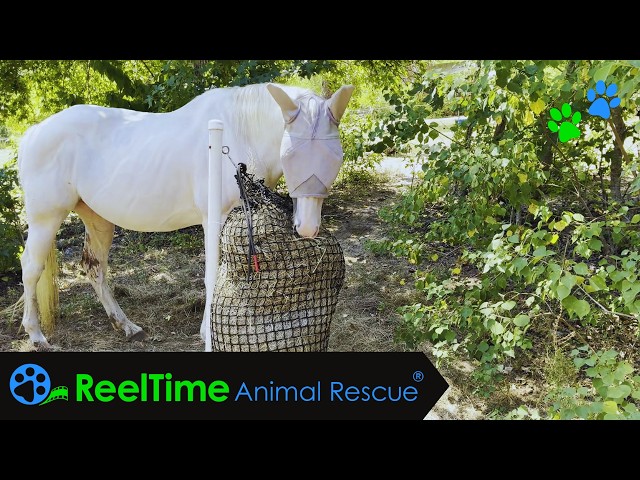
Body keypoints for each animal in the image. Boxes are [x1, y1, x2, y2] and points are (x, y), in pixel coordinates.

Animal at [16, 81, 355, 350]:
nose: (308, 228)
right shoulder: (214, 219)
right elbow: (212, 275)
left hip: (98, 219)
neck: (237, 131)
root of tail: (33, 133)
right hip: (46, 218)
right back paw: (36, 336)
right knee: (31, 269)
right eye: (290, 154)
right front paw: (208, 334)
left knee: (94, 266)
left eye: (335, 156)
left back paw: (127, 326)